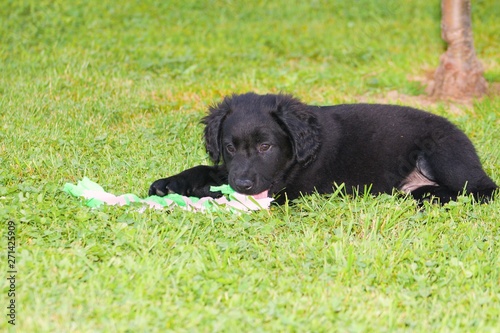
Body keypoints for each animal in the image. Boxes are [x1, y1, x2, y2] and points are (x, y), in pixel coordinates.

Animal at [147, 92, 496, 204]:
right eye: (229, 148)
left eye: (265, 146)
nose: (243, 184)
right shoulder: (230, 168)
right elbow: (206, 168)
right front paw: (169, 183)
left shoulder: (289, 191)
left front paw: (199, 193)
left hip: (440, 153)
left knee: (482, 190)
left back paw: (427, 194)